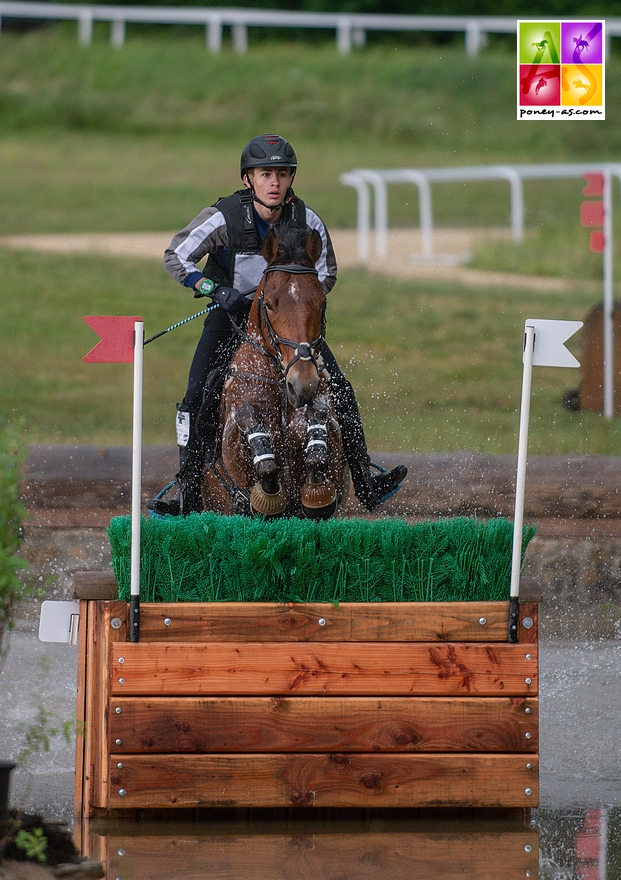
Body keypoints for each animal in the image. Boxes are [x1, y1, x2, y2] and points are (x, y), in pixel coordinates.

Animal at [203, 223, 348, 520]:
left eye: (322, 303)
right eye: (269, 304)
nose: (302, 384)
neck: (281, 389)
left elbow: (318, 454)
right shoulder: (233, 446)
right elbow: (263, 460)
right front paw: (267, 492)